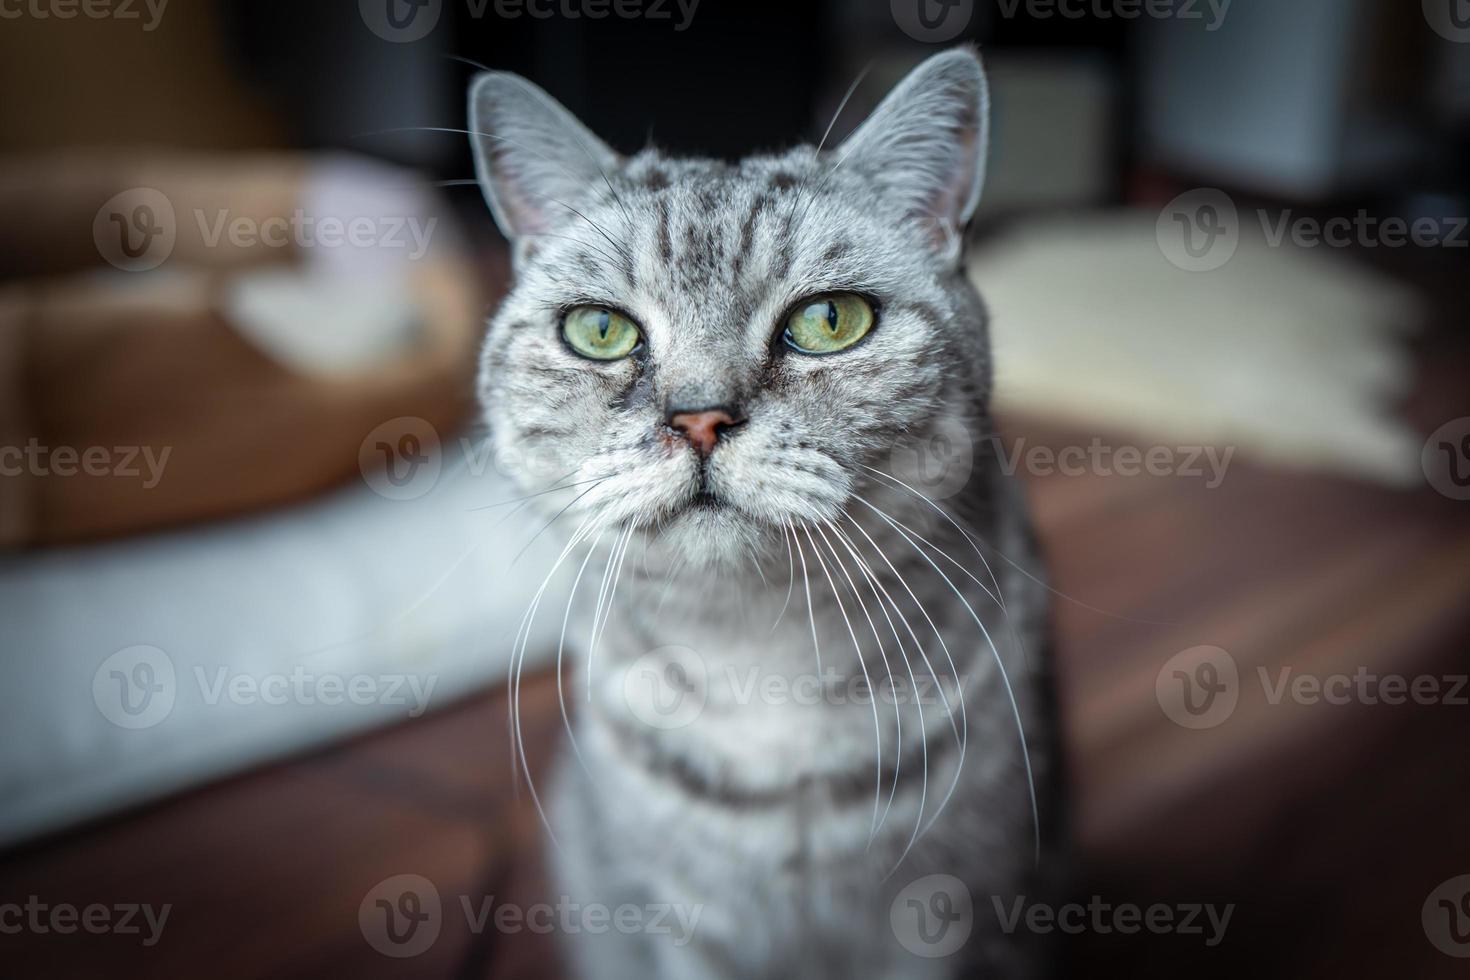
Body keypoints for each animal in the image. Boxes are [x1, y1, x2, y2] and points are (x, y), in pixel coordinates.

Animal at [467, 47, 1058, 980]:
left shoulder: (946, 911)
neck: (759, 660)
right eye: (599, 330)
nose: (699, 418)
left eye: (830, 320)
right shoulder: (686, 928)